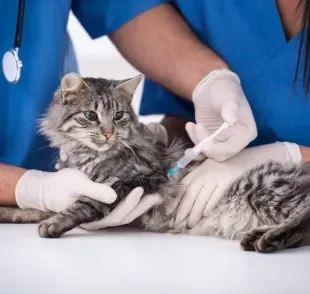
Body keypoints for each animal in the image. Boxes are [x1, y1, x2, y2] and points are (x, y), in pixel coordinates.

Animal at [1, 71, 310, 253]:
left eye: (118, 116)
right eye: (90, 115)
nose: (108, 132)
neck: (87, 156)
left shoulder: (136, 179)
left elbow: (83, 204)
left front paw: (54, 223)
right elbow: (36, 206)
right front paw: (13, 212)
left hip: (264, 187)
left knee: (305, 218)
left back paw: (269, 239)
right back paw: (258, 236)